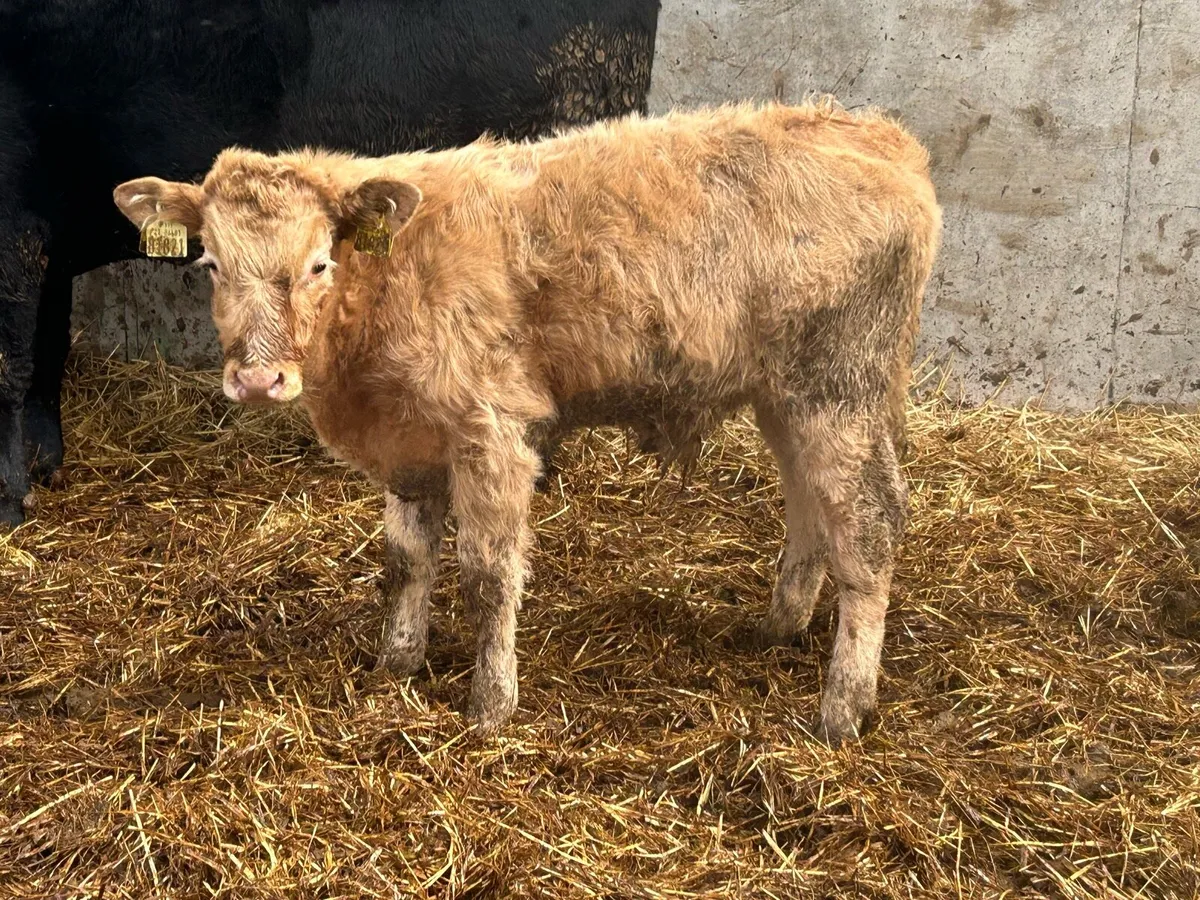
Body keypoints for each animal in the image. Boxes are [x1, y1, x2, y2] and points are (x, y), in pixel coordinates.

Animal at [113, 100, 942, 744]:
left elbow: (488, 574)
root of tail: (881, 135)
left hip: (841, 387)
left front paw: (490, 706)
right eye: (210, 264)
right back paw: (779, 629)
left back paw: (842, 710)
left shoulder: (494, 431)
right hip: (788, 396)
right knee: (810, 509)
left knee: (871, 529)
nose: (257, 380)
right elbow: (405, 561)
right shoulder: (409, 444)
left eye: (319, 263)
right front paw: (395, 665)